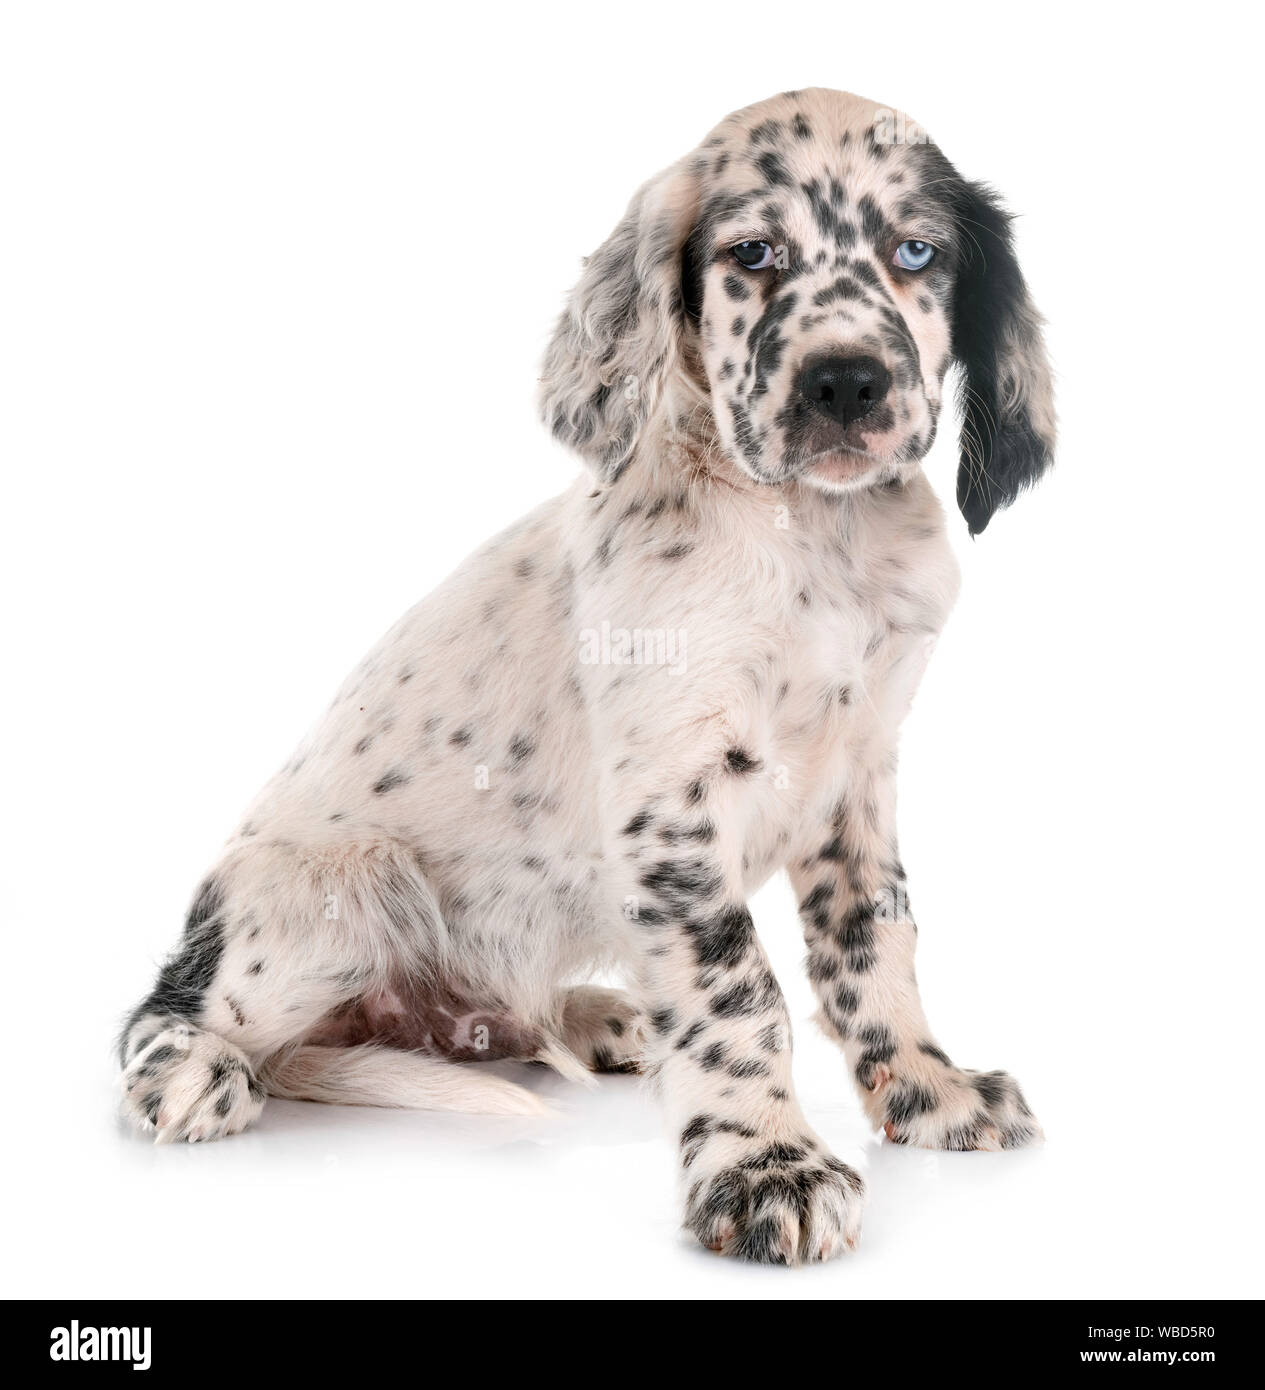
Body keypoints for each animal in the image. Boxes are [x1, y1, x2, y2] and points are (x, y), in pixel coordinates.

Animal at [123, 84, 1062, 1262]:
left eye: (916, 250)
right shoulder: (671, 797)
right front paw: (764, 1168)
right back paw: (193, 1074)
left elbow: (872, 939)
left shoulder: (859, 775)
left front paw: (928, 1091)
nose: (845, 382)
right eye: (752, 253)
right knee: (161, 1017)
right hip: (336, 893)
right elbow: (737, 988)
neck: (814, 536)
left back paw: (593, 1015)